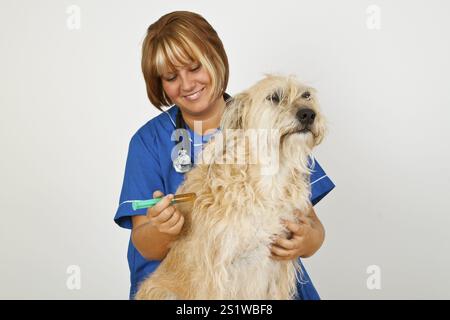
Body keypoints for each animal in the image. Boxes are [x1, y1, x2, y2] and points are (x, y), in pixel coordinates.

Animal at [134, 75, 326, 300]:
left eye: (307, 95)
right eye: (274, 97)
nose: (309, 114)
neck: (269, 177)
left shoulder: (278, 269)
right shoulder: (215, 272)